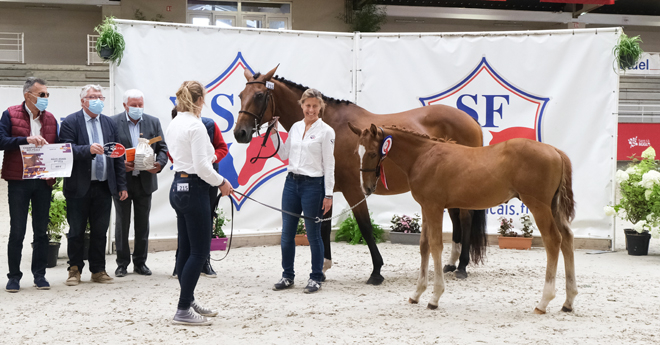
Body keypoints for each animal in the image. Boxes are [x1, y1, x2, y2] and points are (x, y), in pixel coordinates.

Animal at [235, 66, 488, 284]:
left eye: (259, 95)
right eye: (240, 95)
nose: (240, 133)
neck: (332, 127)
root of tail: (471, 120)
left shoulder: (354, 189)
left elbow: (365, 226)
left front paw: (376, 271)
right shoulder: (326, 188)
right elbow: (323, 226)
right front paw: (323, 268)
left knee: (465, 218)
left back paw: (462, 266)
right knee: (456, 218)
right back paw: (451, 263)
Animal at [350, 122, 576, 314]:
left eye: (372, 153)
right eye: (356, 153)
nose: (366, 188)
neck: (423, 156)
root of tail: (555, 151)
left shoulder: (434, 207)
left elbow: (436, 246)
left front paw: (434, 297)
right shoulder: (425, 207)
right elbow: (424, 246)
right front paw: (416, 294)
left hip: (539, 206)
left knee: (553, 241)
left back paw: (544, 302)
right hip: (553, 207)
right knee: (567, 239)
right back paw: (568, 301)